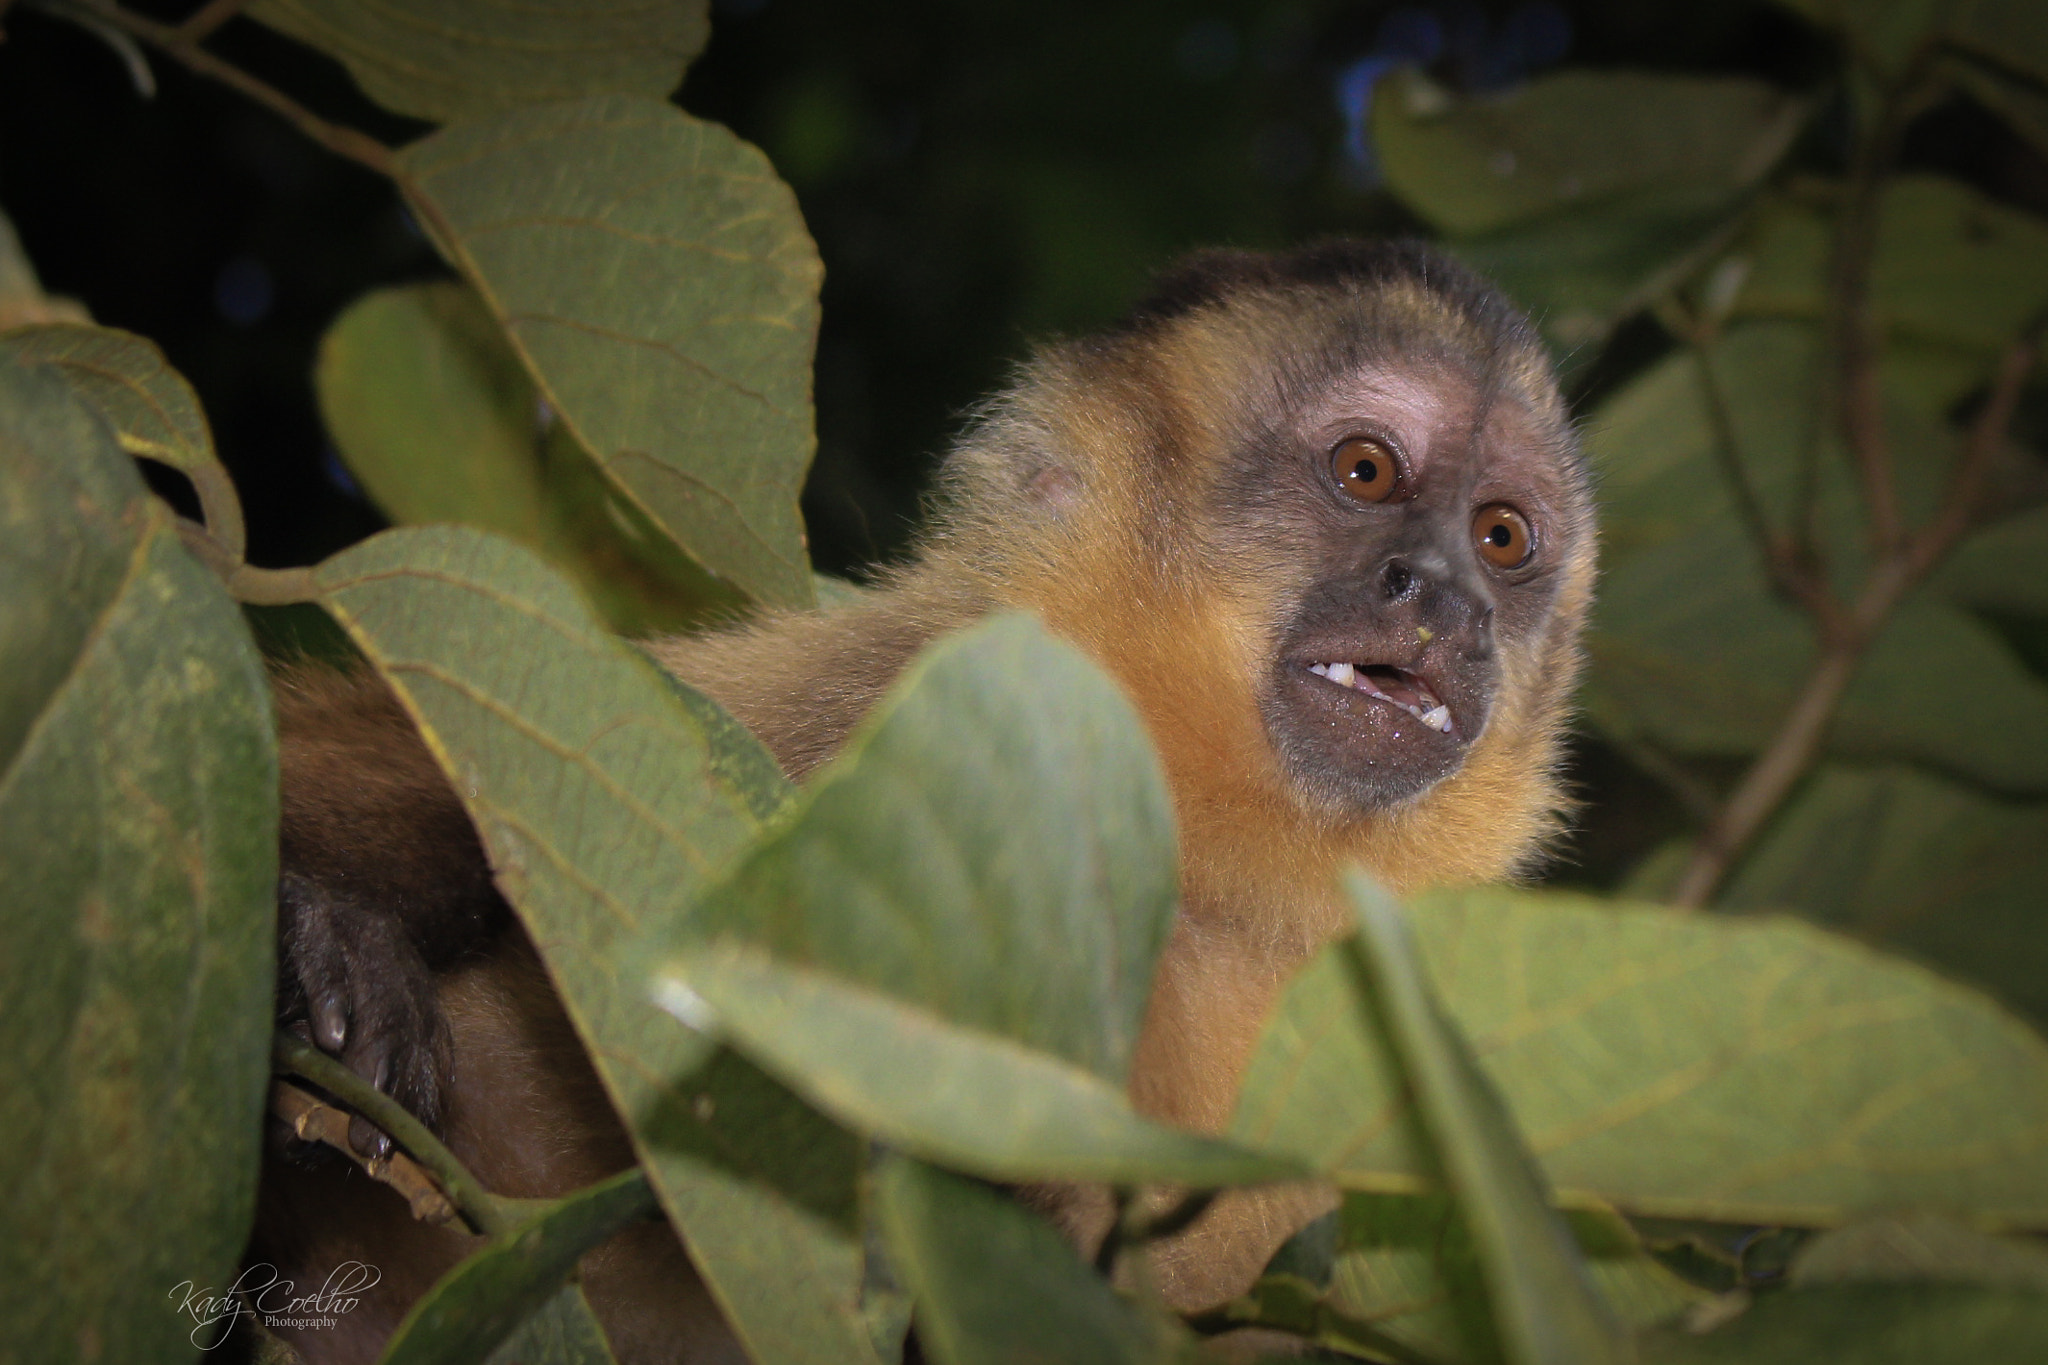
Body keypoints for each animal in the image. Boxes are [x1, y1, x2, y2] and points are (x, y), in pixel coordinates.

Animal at [252, 239, 1596, 1362]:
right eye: (1364, 471)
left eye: (1500, 538)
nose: (1441, 596)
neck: (1203, 867)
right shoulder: (885, 698)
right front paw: (316, 937)